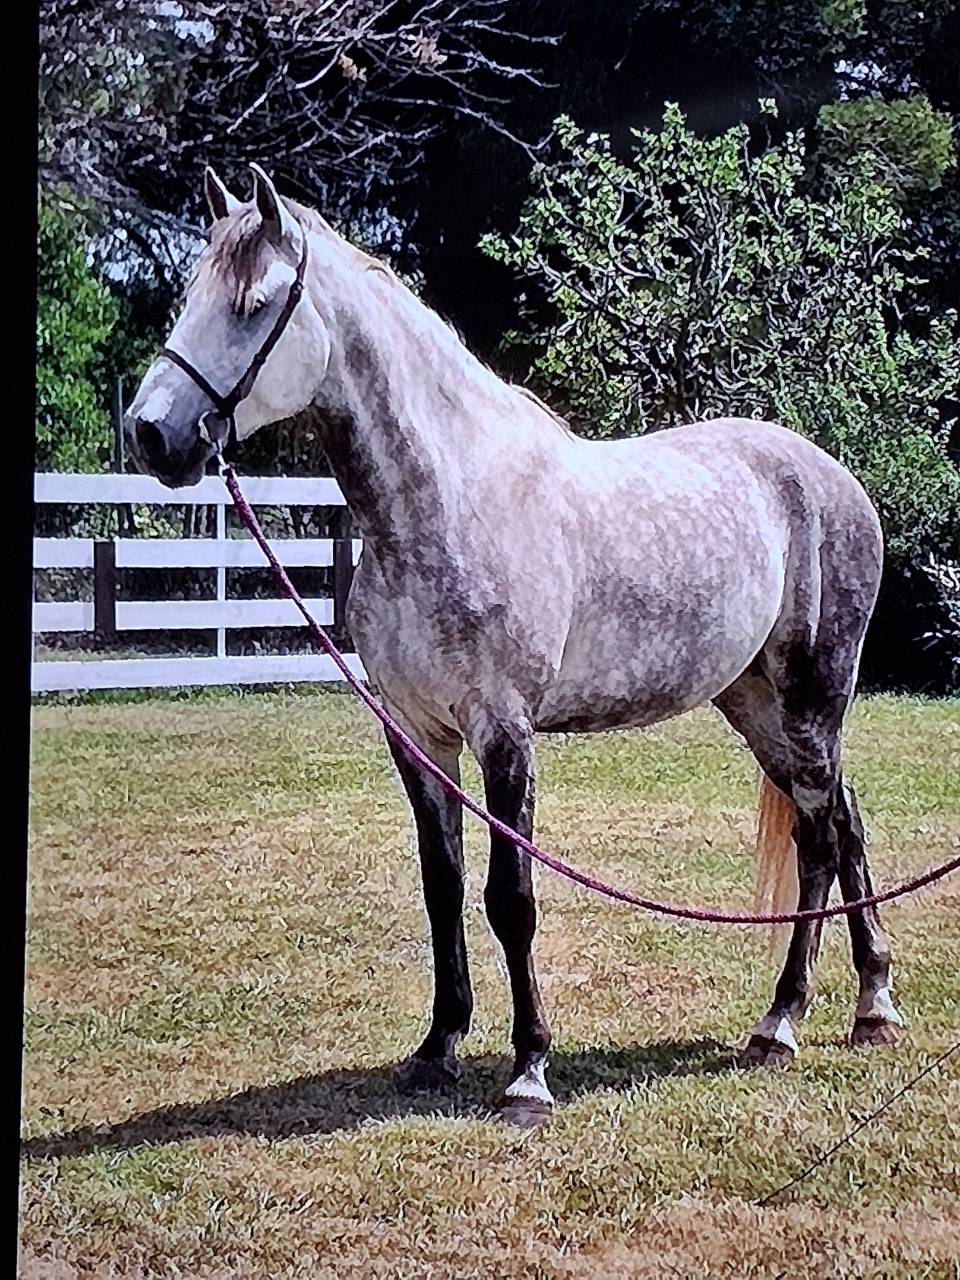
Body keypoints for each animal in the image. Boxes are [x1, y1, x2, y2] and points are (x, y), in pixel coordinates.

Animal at [124, 164, 902, 1127]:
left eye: (253, 302)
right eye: (190, 296)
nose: (150, 433)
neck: (447, 498)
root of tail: (835, 479)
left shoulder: (505, 730)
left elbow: (512, 898)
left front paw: (529, 1070)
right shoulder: (418, 735)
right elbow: (444, 888)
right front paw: (437, 1050)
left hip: (812, 696)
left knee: (823, 841)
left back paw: (784, 1021)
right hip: (759, 704)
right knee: (841, 823)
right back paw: (871, 1005)